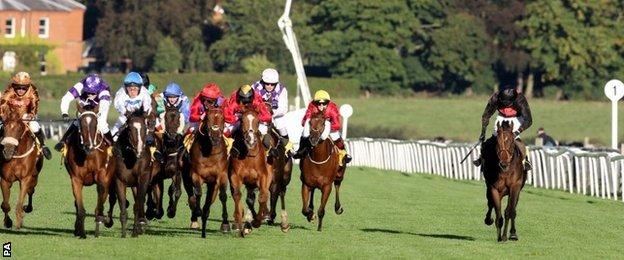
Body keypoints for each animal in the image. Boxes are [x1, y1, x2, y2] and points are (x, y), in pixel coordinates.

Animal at [63, 104, 117, 239]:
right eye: (81, 123)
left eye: (95, 123)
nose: (88, 145)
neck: (88, 155)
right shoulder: (76, 179)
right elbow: (80, 207)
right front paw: (80, 232)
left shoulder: (102, 175)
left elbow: (101, 194)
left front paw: (101, 219)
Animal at [113, 109, 155, 238]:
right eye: (129, 128)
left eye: (145, 127)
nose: (139, 150)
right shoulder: (119, 180)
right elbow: (122, 205)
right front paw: (123, 234)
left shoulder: (143, 179)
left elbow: (137, 205)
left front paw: (135, 231)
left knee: (140, 201)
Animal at [183, 106, 232, 238]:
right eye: (207, 119)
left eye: (223, 118)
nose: (215, 136)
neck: (210, 152)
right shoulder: (196, 175)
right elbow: (198, 193)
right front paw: (198, 211)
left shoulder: (221, 175)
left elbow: (223, 196)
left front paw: (225, 224)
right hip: (186, 178)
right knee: (191, 197)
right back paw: (195, 218)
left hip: (212, 184)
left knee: (209, 201)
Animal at [227, 106, 270, 238]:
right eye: (242, 120)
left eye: (258, 121)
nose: (250, 139)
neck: (249, 155)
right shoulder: (235, 176)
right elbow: (237, 195)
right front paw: (240, 225)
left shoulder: (263, 176)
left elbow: (262, 197)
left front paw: (256, 222)